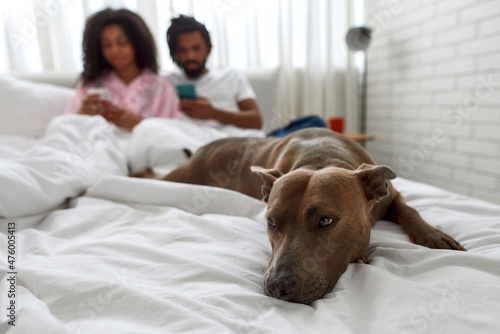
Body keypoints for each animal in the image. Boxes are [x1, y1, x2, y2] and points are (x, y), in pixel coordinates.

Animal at [136, 129, 464, 306]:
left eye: (326, 221)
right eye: (271, 223)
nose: (278, 286)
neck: (321, 158)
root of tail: (204, 147)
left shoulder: (391, 196)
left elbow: (410, 209)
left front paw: (434, 235)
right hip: (180, 177)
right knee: (150, 174)